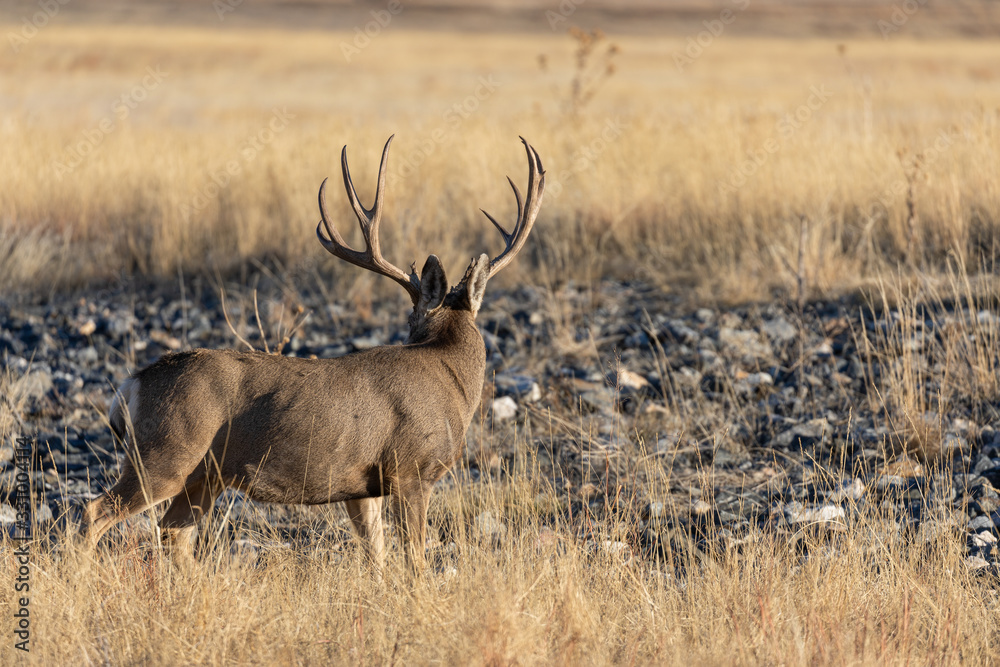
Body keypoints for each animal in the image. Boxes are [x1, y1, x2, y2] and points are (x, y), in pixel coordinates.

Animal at [79, 136, 544, 572]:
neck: (450, 380)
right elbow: (414, 559)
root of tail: (132, 384)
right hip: (166, 452)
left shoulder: (363, 485)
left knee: (174, 532)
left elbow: (376, 556)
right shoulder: (410, 469)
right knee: (95, 511)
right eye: (409, 316)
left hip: (204, 475)